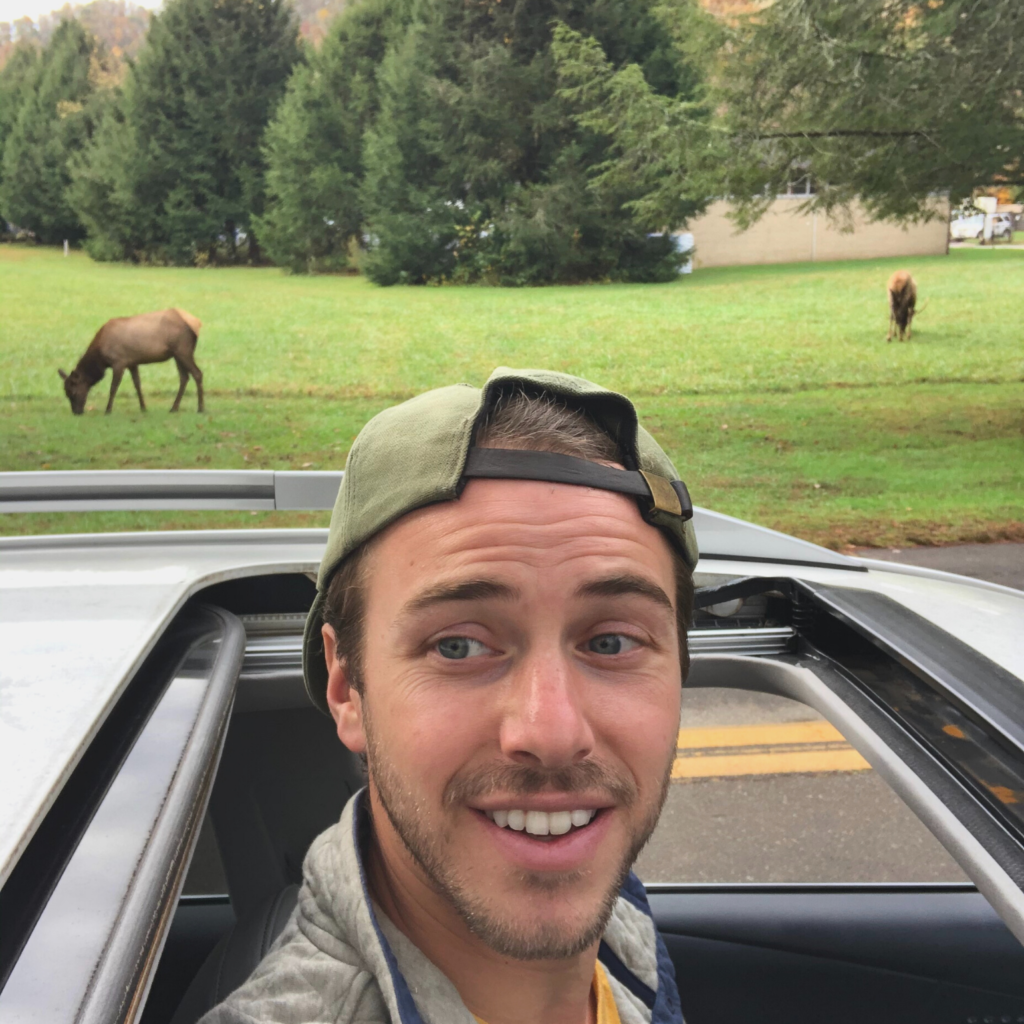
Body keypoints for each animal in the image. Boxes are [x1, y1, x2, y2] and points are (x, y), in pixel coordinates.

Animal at [58, 305, 206, 413]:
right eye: (66, 393)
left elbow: (113, 387)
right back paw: (174, 408)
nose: (76, 412)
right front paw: (143, 407)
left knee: (197, 373)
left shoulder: (119, 362)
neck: (101, 359)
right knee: (184, 377)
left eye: (72, 391)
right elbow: (137, 384)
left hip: (183, 351)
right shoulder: (132, 362)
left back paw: (200, 408)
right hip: (176, 354)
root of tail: (197, 324)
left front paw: (108, 410)